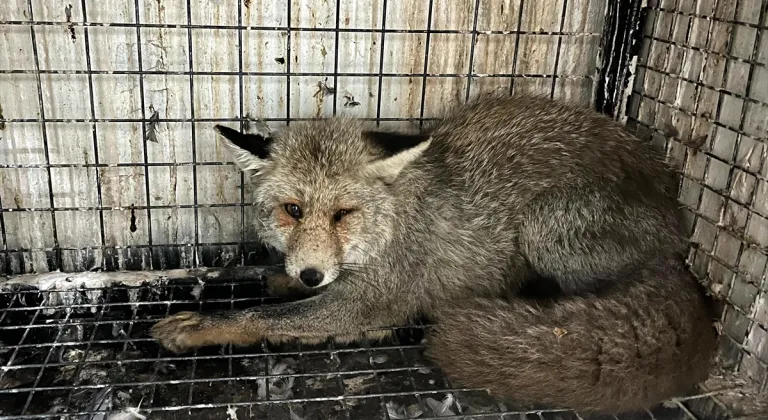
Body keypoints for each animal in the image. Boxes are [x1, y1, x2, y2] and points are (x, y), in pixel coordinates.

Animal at [153, 94, 716, 414]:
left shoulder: (374, 301)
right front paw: (287, 278)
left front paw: (205, 326)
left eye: (343, 214)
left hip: (544, 226)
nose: (311, 275)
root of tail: (677, 236)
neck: (390, 225)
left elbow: (262, 317)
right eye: (292, 210)